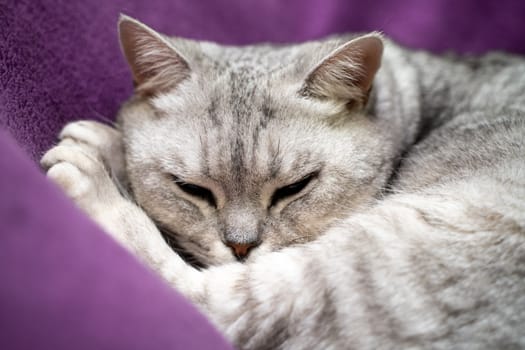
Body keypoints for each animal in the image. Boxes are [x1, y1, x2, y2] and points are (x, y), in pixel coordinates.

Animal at [42, 14, 524, 350]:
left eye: (295, 188)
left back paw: (88, 167)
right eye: (192, 189)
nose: (240, 248)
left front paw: (100, 147)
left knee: (203, 303)